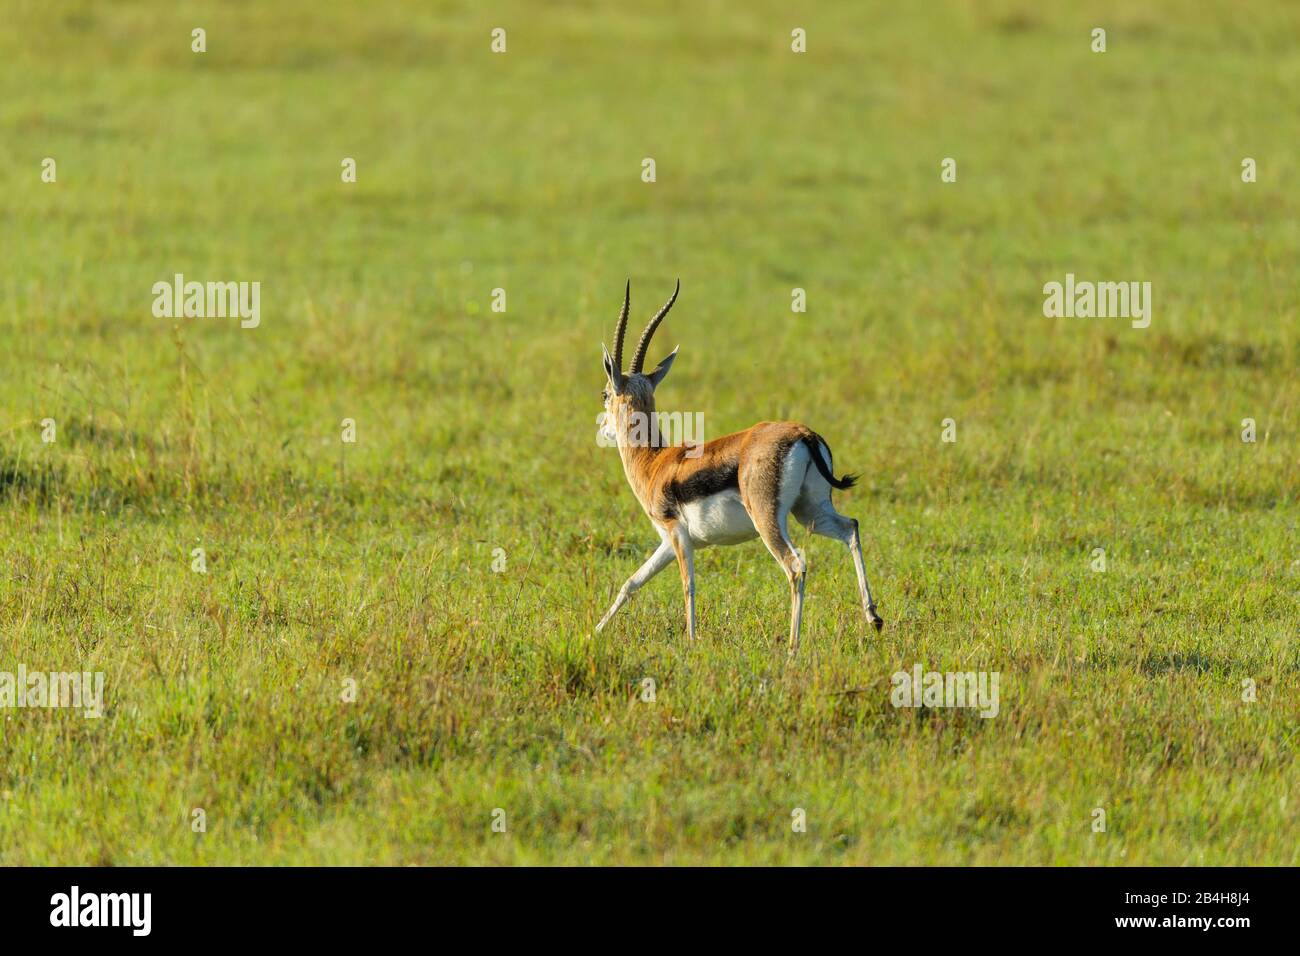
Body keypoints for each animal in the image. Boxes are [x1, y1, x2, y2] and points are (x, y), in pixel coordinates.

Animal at [595, 280, 884, 656]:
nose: (603, 428)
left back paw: (792, 648)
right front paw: (595, 631)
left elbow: (688, 585)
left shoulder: (676, 534)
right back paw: (873, 617)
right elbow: (631, 583)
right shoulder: (668, 542)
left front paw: (692, 642)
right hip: (809, 512)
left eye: (605, 394)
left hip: (768, 520)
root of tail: (803, 433)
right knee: (850, 528)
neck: (655, 462)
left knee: (796, 565)